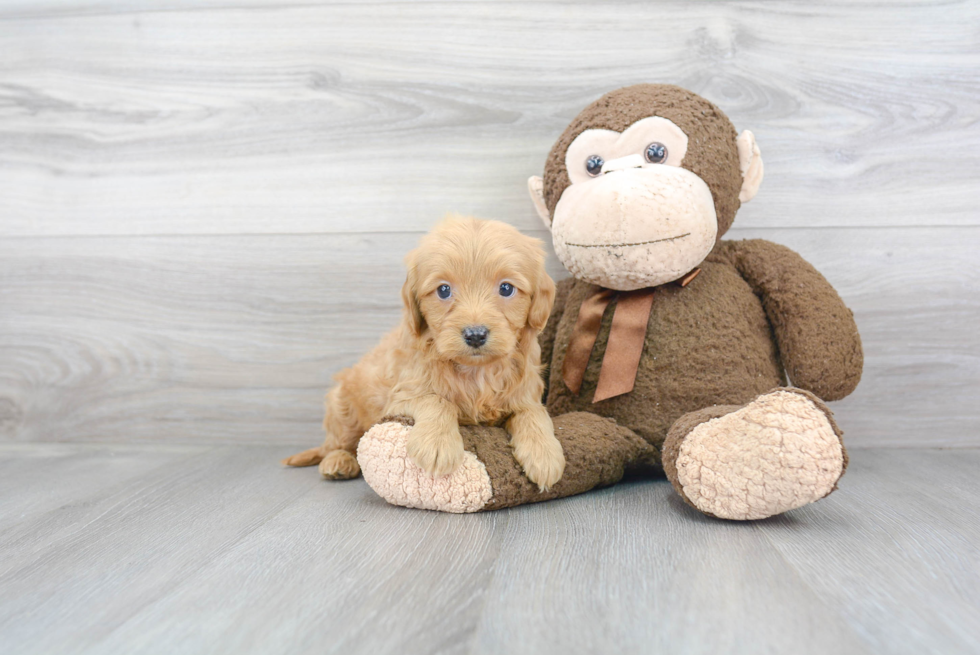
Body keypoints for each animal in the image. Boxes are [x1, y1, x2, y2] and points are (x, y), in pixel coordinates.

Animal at [282, 217, 568, 492]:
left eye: (506, 288)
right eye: (444, 290)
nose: (475, 335)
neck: (476, 371)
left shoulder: (524, 392)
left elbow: (533, 413)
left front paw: (544, 455)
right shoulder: (401, 396)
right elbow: (437, 400)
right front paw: (438, 445)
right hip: (342, 409)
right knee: (337, 444)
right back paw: (338, 462)